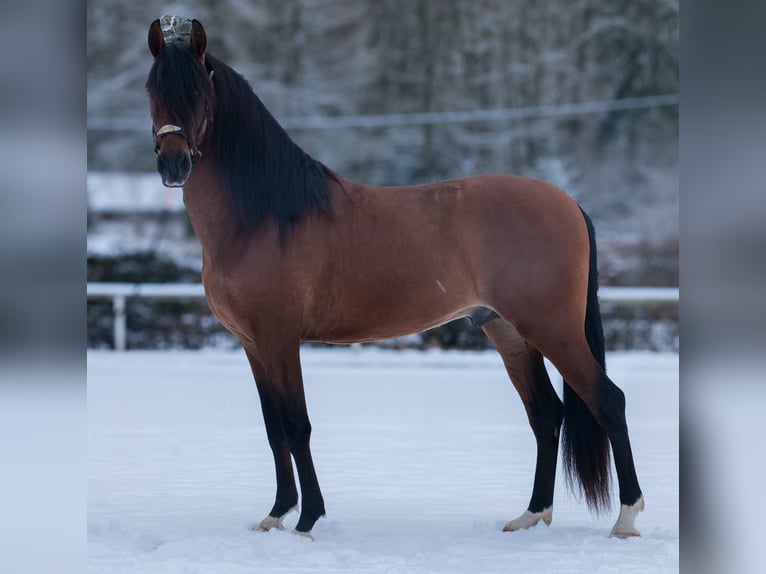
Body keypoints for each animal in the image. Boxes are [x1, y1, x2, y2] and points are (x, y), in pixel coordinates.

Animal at [145, 17, 644, 538]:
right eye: (152, 90)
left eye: (199, 92)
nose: (173, 165)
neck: (264, 215)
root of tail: (567, 203)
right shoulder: (252, 343)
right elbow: (273, 427)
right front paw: (276, 513)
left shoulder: (279, 338)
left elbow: (297, 424)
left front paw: (307, 518)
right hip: (509, 331)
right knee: (547, 414)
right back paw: (529, 515)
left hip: (553, 329)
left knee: (608, 401)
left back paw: (625, 519)